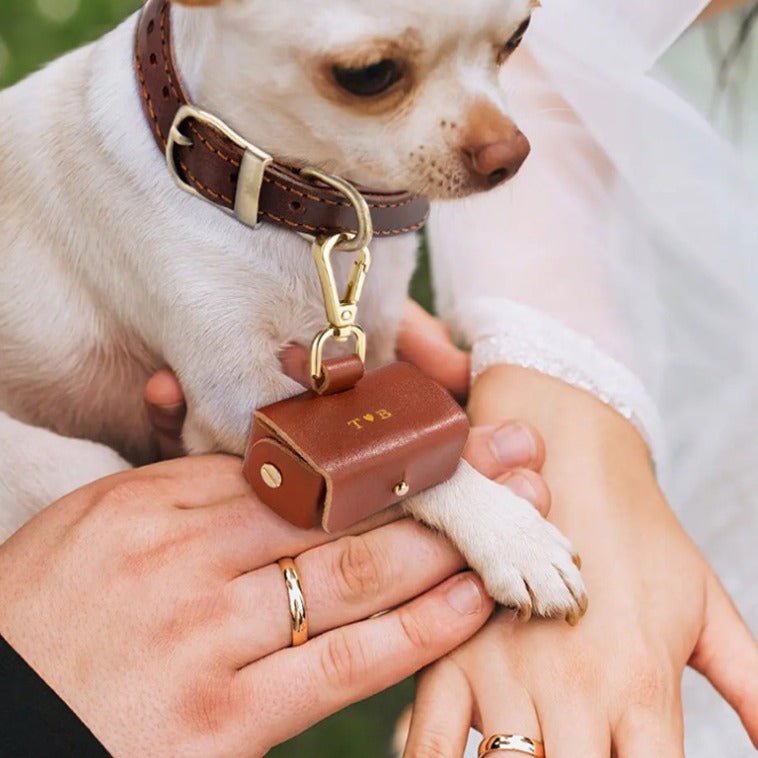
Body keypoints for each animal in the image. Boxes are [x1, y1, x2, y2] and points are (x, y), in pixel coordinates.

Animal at [0, 0, 588, 624]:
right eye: (369, 74)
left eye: (519, 36)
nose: (511, 155)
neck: (298, 215)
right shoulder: (237, 397)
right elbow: (410, 467)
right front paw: (513, 534)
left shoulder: (374, 340)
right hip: (79, 462)